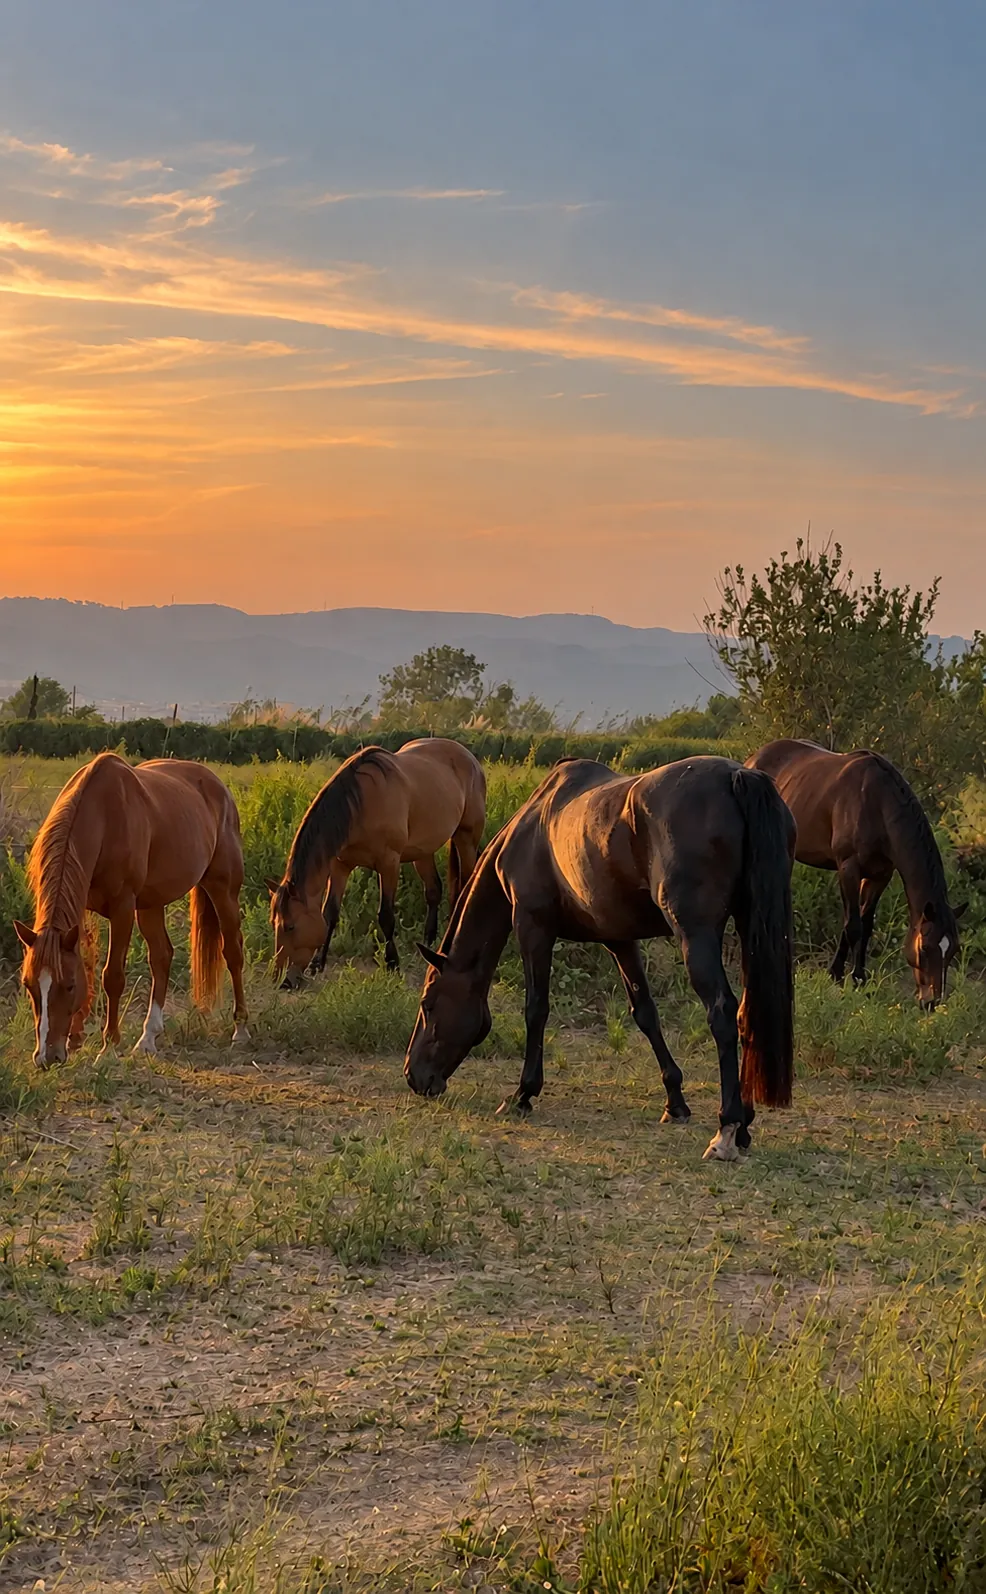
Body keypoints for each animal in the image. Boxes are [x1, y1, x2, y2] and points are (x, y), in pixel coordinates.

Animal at [13, 752, 250, 1067]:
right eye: (29, 985)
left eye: (69, 986)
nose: (47, 1057)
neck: (103, 817)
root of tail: (219, 788)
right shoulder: (82, 908)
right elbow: (86, 965)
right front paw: (76, 1039)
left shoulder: (122, 907)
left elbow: (112, 975)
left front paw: (109, 1044)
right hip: (150, 904)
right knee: (162, 956)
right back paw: (148, 1037)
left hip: (223, 890)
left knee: (233, 953)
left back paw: (241, 1029)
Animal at [268, 738, 486, 988]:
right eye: (273, 923)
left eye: (290, 926)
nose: (282, 980)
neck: (360, 805)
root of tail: (470, 758)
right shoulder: (340, 866)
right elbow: (329, 913)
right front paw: (317, 964)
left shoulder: (389, 863)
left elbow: (386, 916)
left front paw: (392, 964)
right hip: (423, 851)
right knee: (433, 891)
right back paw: (430, 943)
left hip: (466, 839)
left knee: (465, 888)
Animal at [405, 756, 795, 1162]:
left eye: (428, 1004)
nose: (413, 1077)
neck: (530, 829)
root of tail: (736, 776)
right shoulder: (619, 940)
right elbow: (645, 1014)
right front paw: (674, 1101)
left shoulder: (532, 927)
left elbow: (536, 1009)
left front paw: (523, 1093)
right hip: (750, 927)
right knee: (748, 1012)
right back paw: (745, 1124)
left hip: (696, 934)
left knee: (722, 1012)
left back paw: (727, 1128)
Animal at [746, 738, 960, 1007]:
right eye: (924, 948)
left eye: (952, 951)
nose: (931, 1002)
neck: (877, 804)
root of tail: (752, 760)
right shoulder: (848, 868)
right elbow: (853, 926)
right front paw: (836, 975)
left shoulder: (879, 875)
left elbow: (866, 925)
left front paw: (859, 978)